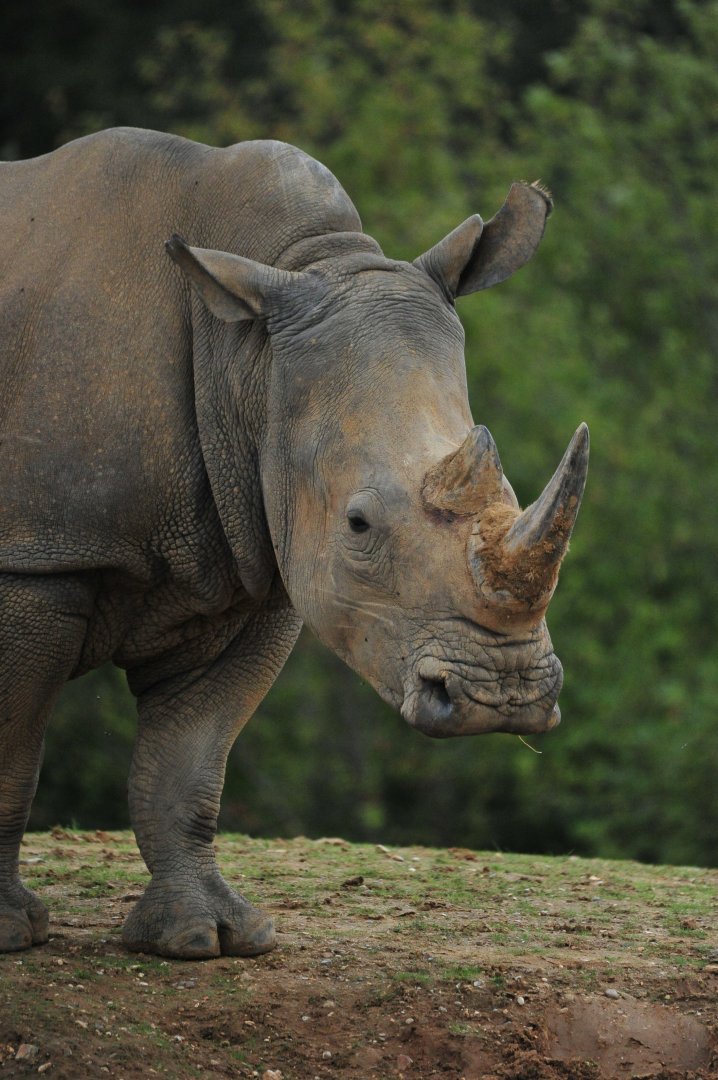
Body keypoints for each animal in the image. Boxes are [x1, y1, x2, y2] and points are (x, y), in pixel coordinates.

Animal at [0, 128, 588, 959]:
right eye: (358, 525)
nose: (501, 699)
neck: (245, 360)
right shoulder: (38, 555)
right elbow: (13, 748)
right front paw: (10, 933)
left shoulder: (255, 572)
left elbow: (188, 762)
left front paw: (207, 938)